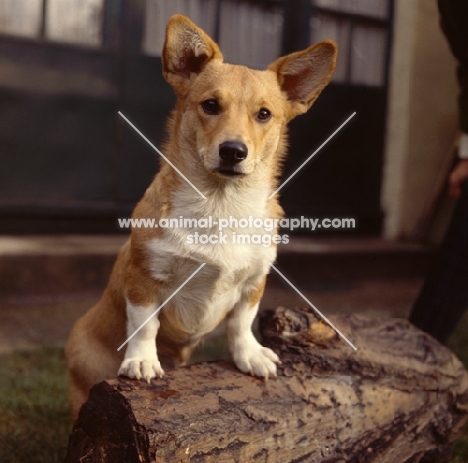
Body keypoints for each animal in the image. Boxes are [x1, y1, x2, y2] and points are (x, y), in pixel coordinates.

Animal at [66, 13, 336, 420]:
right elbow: (144, 323)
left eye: (264, 114)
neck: (220, 204)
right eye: (210, 105)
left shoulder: (254, 281)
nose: (233, 151)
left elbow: (241, 323)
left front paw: (250, 355)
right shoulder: (144, 278)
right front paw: (142, 361)